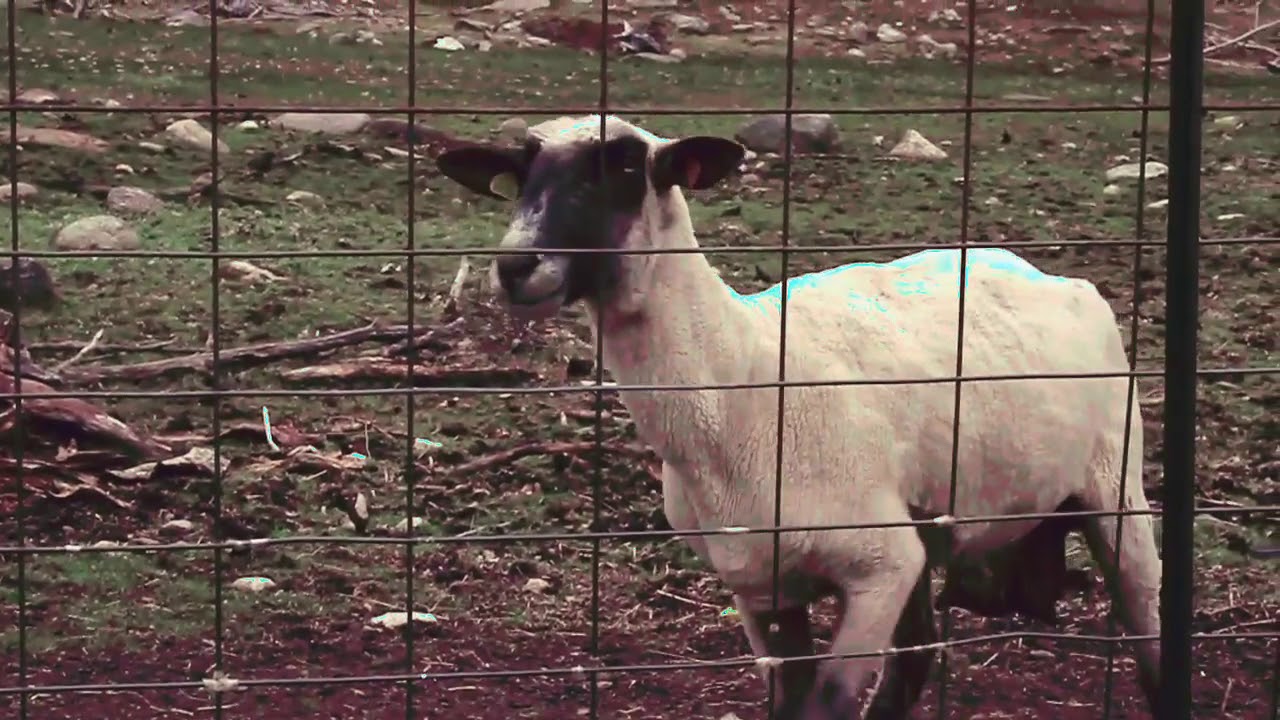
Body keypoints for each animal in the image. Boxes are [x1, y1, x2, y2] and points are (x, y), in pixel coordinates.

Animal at [435, 115, 1163, 719]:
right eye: (518, 177)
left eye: (622, 169)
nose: (514, 266)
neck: (740, 385)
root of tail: (1051, 274)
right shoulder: (763, 587)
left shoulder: (879, 567)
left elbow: (828, 705)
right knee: (921, 656)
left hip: (1115, 481)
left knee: (1147, 622)